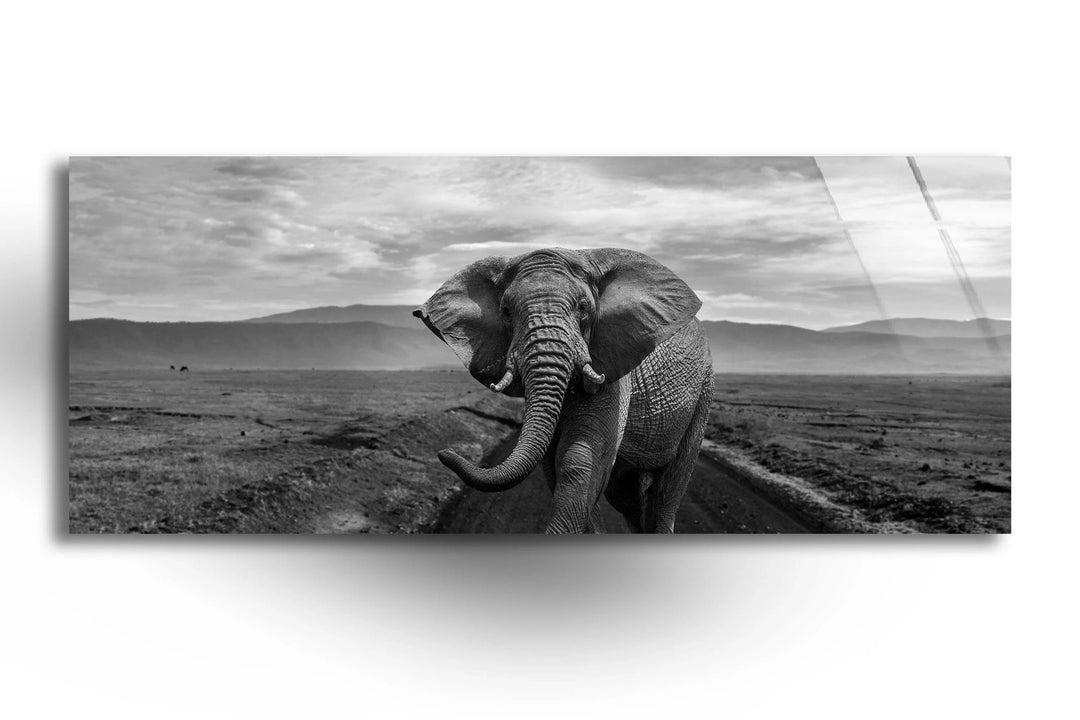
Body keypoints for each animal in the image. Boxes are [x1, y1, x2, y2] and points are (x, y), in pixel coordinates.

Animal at [414, 247, 713, 534]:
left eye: (583, 307)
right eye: (506, 312)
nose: (444, 452)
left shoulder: (611, 365)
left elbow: (581, 457)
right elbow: (553, 463)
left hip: (703, 393)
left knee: (668, 489)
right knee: (626, 497)